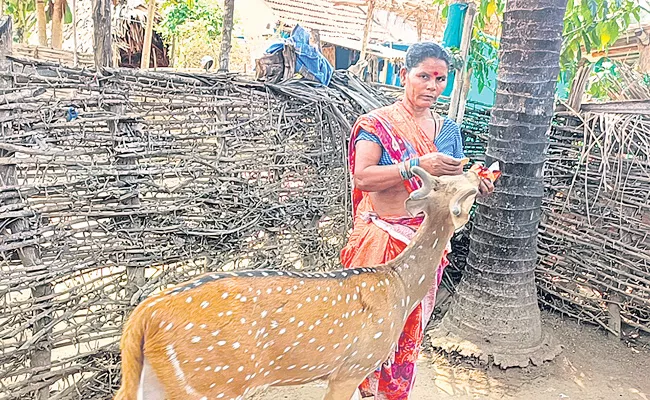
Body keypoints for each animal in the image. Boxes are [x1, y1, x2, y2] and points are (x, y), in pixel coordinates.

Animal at [114, 166, 480, 400]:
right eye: (469, 193)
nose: (478, 171)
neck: (400, 289)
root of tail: (144, 316)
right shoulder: (352, 366)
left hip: (156, 381)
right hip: (211, 383)